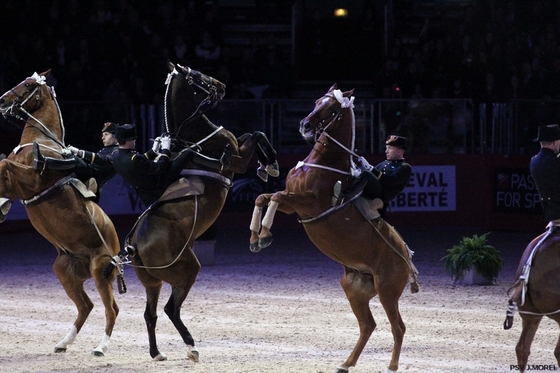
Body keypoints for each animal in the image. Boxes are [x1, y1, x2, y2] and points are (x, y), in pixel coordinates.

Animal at [0, 70, 120, 354]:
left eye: (28, 85)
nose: (2, 100)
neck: (42, 142)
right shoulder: (16, 185)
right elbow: (3, 168)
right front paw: (2, 206)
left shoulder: (30, 180)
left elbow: (4, 163)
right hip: (65, 271)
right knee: (86, 306)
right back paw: (63, 343)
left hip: (100, 271)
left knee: (111, 310)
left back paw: (101, 347)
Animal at [248, 84, 416, 372]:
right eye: (317, 101)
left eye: (332, 108)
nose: (304, 125)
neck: (325, 164)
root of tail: (406, 255)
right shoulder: (294, 205)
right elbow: (264, 197)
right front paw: (255, 237)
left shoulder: (309, 204)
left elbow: (276, 196)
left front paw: (265, 235)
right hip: (355, 290)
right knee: (368, 325)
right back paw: (345, 363)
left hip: (387, 291)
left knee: (398, 327)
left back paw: (390, 366)